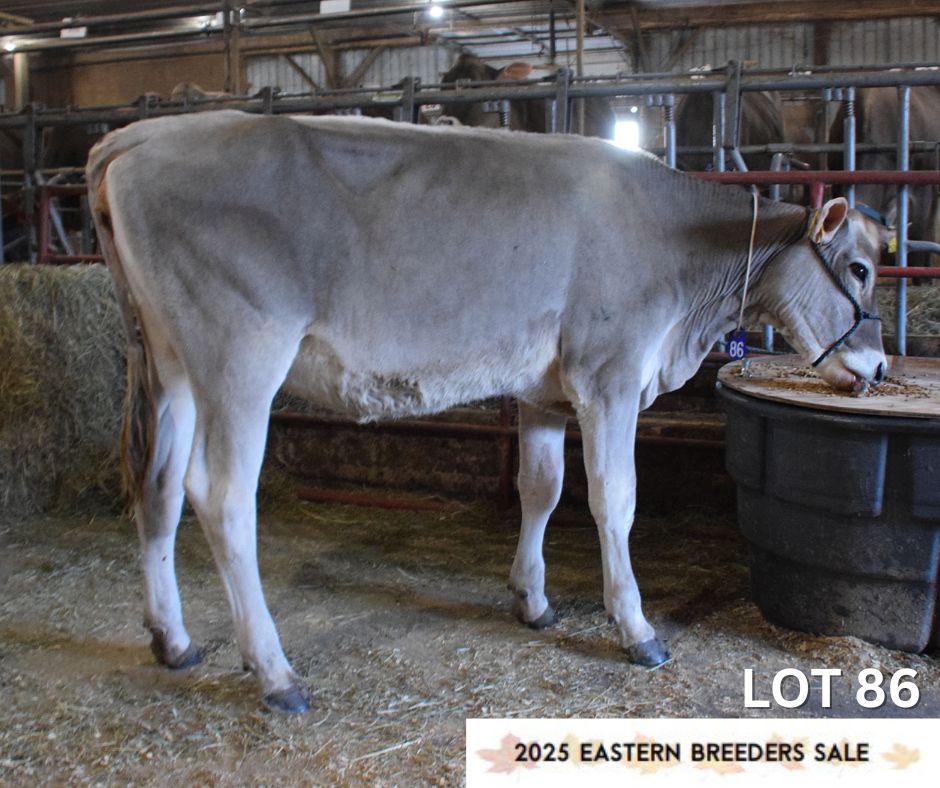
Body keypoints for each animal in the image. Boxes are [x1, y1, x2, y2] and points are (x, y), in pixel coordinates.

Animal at [87, 110, 887, 713]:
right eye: (859, 268)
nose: (879, 366)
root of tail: (139, 137)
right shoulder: (610, 372)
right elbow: (614, 499)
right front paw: (636, 628)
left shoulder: (542, 388)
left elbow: (542, 488)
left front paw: (532, 600)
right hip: (242, 353)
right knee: (221, 499)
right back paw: (276, 672)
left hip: (169, 360)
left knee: (159, 486)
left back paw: (174, 642)